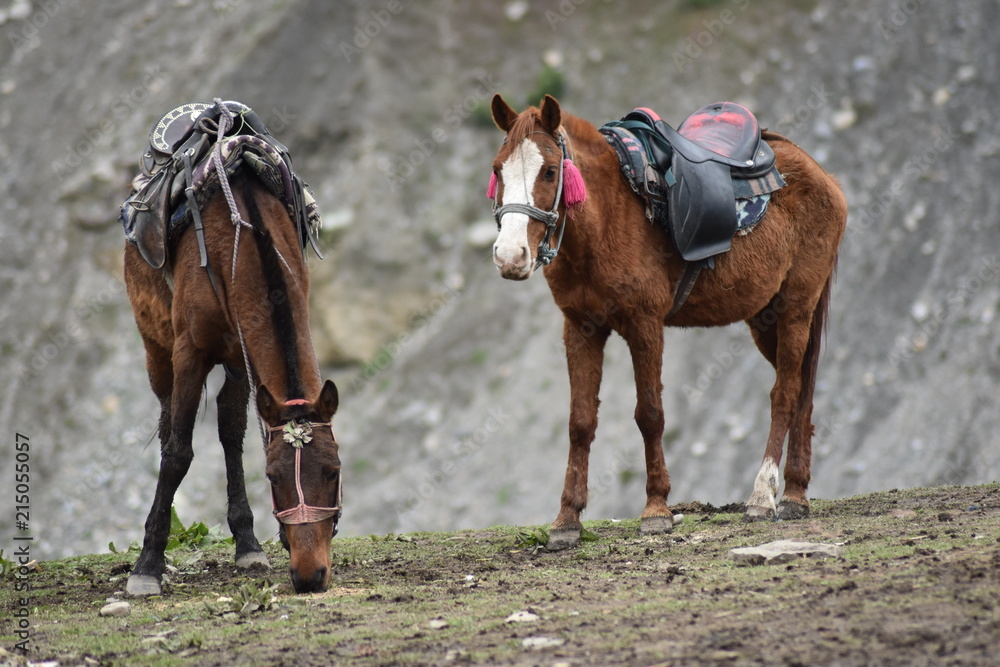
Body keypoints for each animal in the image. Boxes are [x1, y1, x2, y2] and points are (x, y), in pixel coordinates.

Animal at [123, 161, 341, 594]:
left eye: (333, 471)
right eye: (272, 477)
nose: (310, 575)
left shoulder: (245, 353)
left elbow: (235, 430)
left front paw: (256, 544)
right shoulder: (189, 353)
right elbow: (178, 453)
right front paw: (147, 565)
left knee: (229, 426)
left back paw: (248, 542)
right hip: (156, 347)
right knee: (168, 423)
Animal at [487, 94, 847, 550]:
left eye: (550, 171)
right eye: (498, 169)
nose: (509, 256)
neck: (608, 216)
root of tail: (823, 176)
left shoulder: (645, 324)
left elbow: (650, 414)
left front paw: (656, 509)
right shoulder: (581, 328)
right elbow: (580, 422)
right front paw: (567, 519)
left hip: (796, 308)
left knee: (784, 395)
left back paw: (763, 496)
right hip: (766, 319)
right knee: (801, 391)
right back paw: (796, 493)